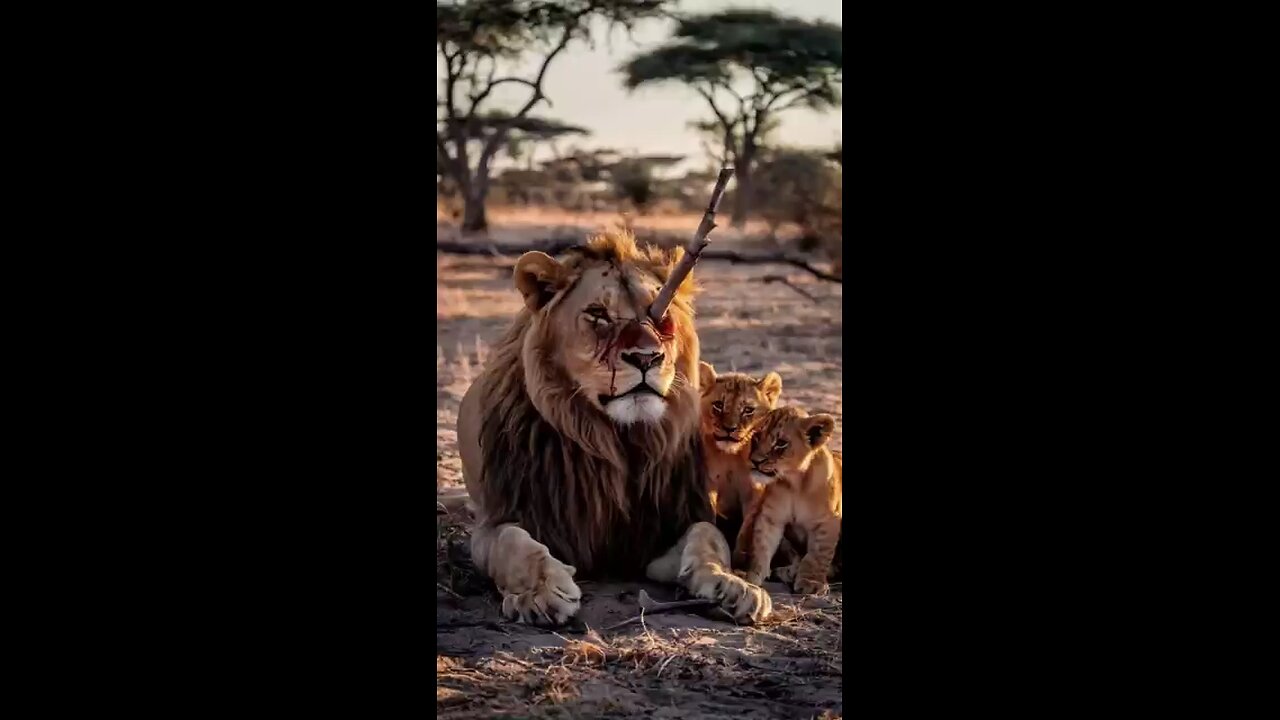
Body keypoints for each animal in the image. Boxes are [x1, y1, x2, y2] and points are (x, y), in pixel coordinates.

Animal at [460, 229, 778, 622]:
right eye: (598, 314)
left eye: (661, 315)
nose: (646, 357)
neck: (617, 440)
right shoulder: (498, 520)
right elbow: (514, 544)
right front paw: (542, 592)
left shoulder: (664, 529)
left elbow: (708, 536)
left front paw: (733, 586)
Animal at [742, 407, 839, 591]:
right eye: (757, 436)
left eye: (780, 443)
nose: (755, 461)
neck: (795, 483)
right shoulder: (771, 517)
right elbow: (761, 546)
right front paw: (752, 576)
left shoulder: (827, 521)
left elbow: (817, 555)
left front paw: (810, 583)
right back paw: (786, 572)